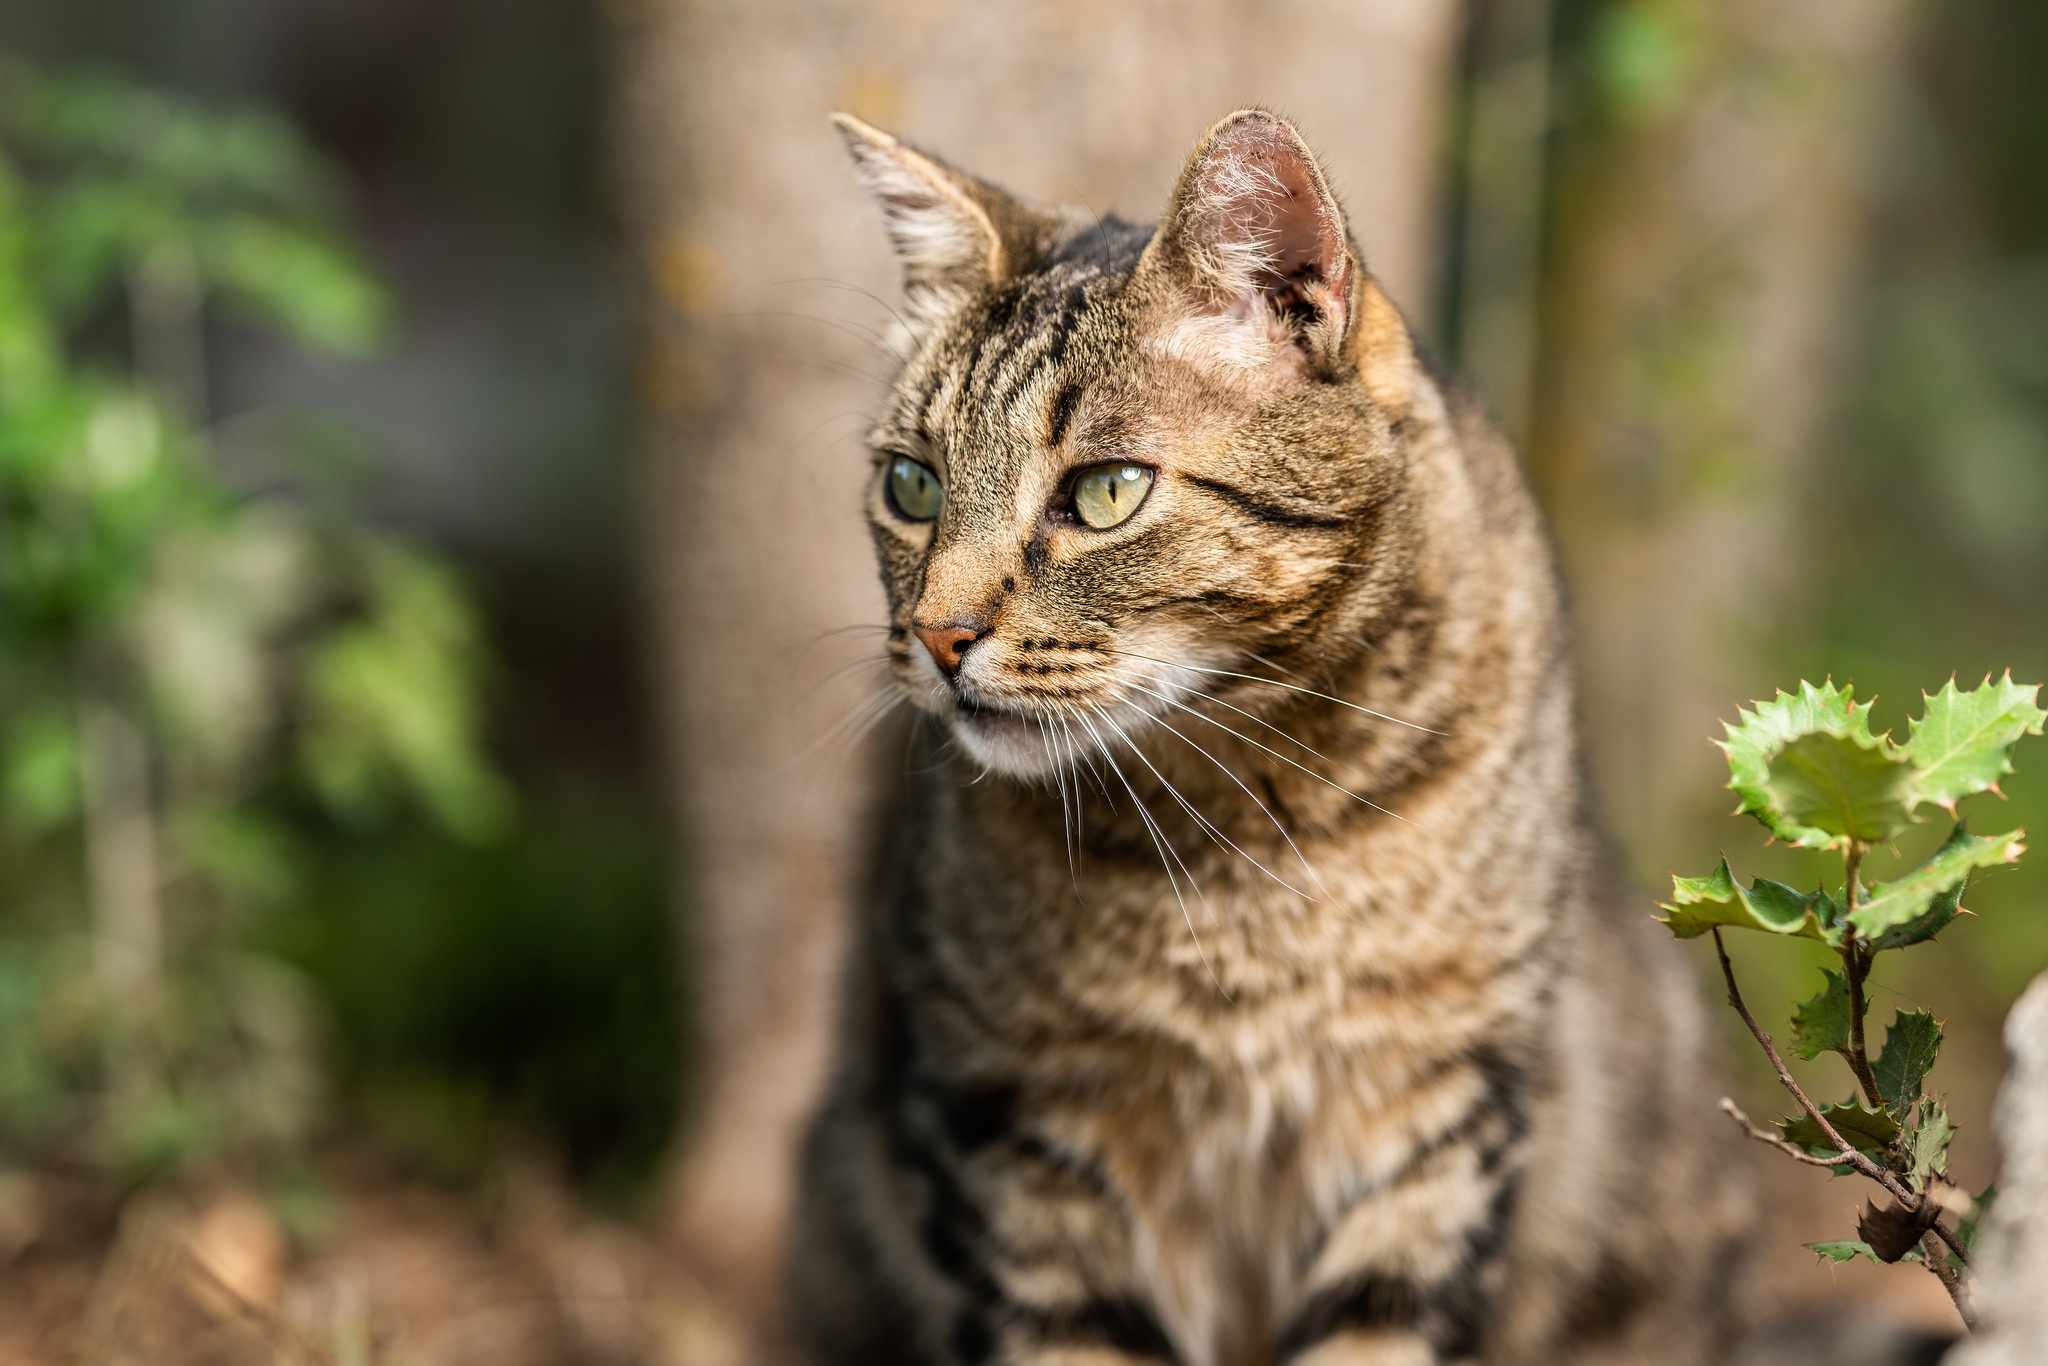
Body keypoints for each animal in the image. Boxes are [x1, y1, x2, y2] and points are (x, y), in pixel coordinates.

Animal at [790, 109, 1753, 1366]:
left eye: (1105, 492)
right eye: (912, 485)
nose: (936, 636)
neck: (1232, 836)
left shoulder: (1436, 1113)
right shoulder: (1002, 1122)